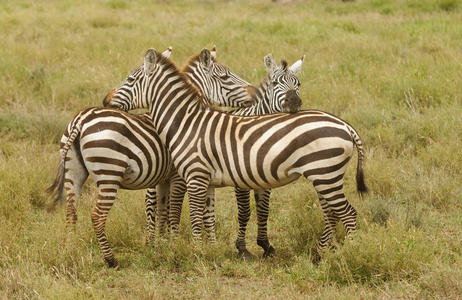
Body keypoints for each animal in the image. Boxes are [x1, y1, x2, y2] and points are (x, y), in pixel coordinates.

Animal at [47, 46, 254, 268]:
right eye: (225, 76)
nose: (105, 100)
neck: (184, 117)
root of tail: (81, 119)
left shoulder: (163, 177)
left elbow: (164, 210)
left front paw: (160, 245)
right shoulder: (179, 176)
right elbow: (175, 211)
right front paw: (174, 244)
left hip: (73, 172)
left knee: (71, 212)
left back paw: (70, 251)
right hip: (109, 173)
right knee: (97, 216)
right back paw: (111, 260)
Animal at [104, 48, 368, 262]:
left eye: (129, 79)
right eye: (275, 83)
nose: (105, 101)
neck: (187, 121)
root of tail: (345, 124)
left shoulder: (196, 176)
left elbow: (195, 216)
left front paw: (195, 253)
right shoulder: (208, 179)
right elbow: (207, 215)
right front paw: (208, 250)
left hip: (325, 174)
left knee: (347, 214)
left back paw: (351, 255)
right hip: (324, 175)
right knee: (333, 213)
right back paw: (319, 255)